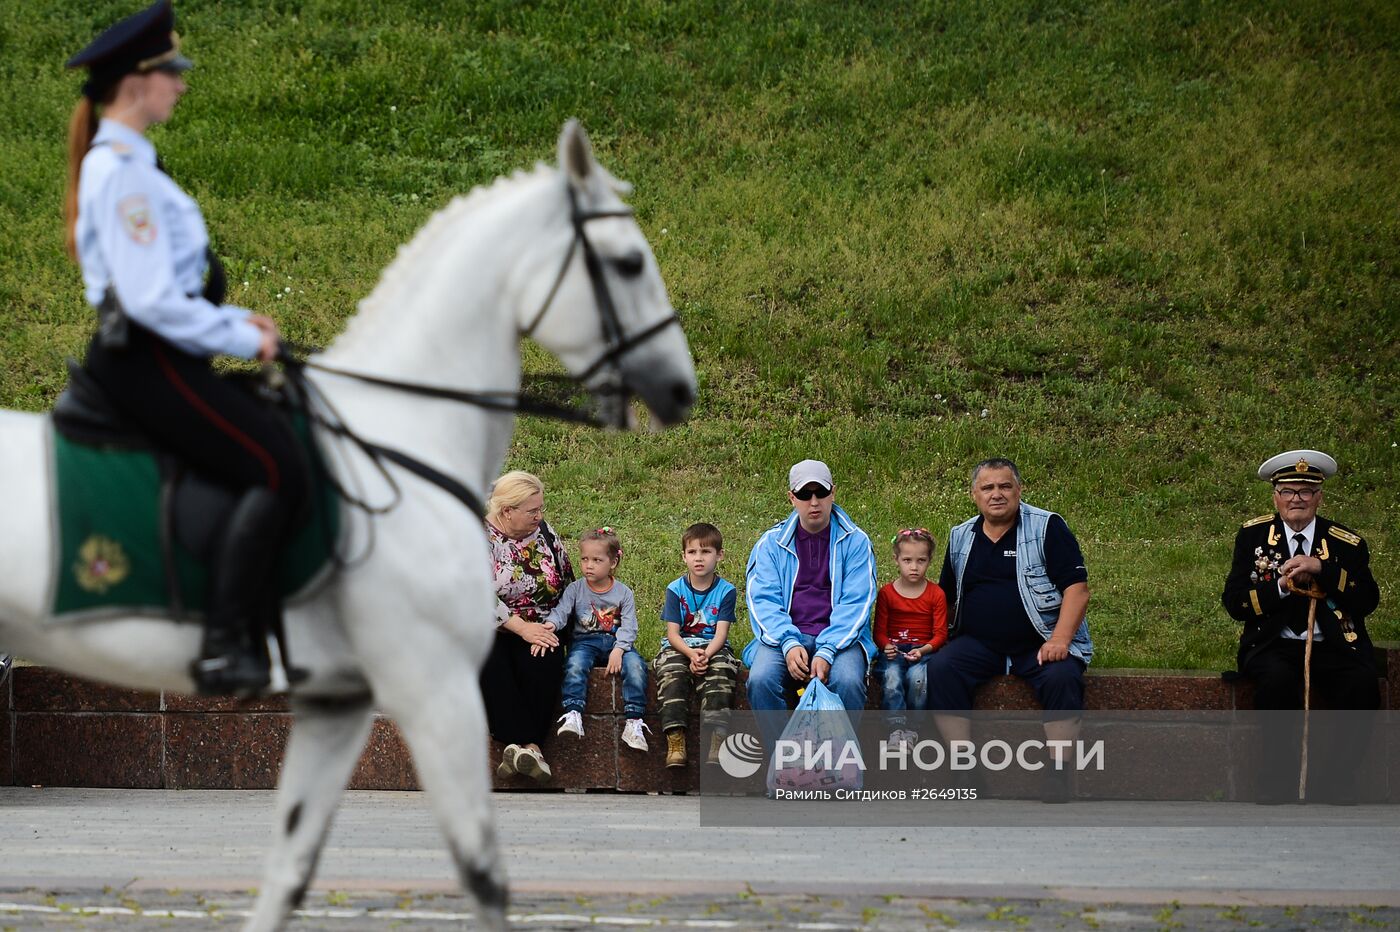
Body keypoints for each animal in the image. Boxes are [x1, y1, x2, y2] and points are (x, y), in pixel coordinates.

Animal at [0, 119, 697, 923]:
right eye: (628, 261)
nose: (680, 389)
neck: (408, 432)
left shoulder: (337, 704)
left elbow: (291, 868)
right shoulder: (436, 686)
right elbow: (482, 871)